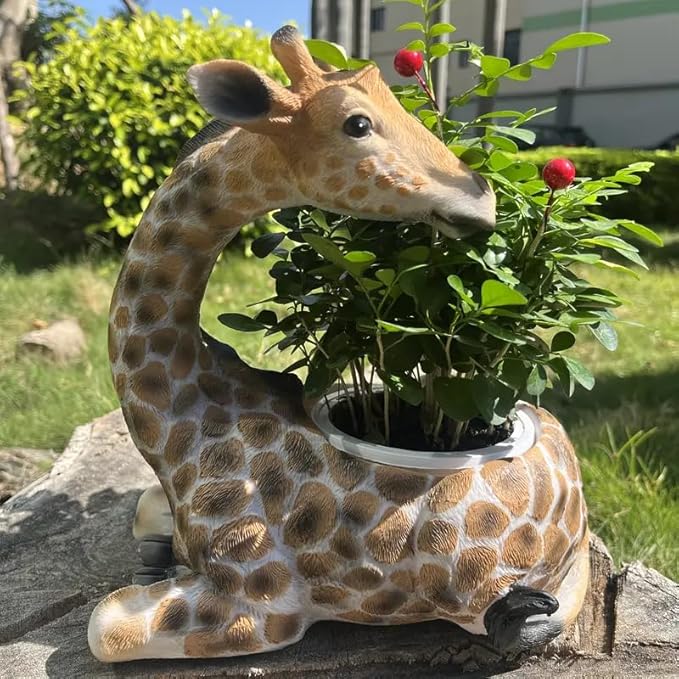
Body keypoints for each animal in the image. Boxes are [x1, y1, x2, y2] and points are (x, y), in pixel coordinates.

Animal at [89, 26, 590, 662]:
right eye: (357, 123)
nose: (483, 200)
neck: (176, 421)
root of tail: (577, 490)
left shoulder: (261, 604)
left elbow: (104, 625)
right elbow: (140, 517)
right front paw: (155, 550)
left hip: (471, 588)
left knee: (528, 613)